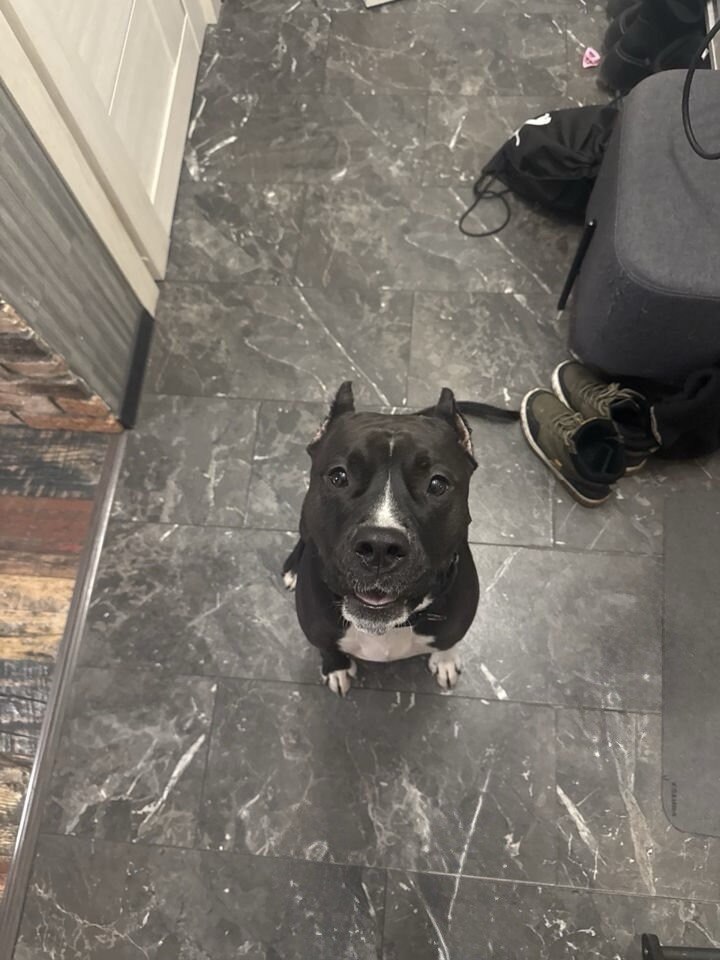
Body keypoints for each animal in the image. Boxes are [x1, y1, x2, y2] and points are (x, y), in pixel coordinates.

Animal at [283, 382, 517, 696]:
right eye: (338, 477)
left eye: (437, 484)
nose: (380, 546)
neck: (390, 628)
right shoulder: (317, 628)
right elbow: (328, 648)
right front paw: (336, 668)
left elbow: (449, 641)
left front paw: (445, 661)